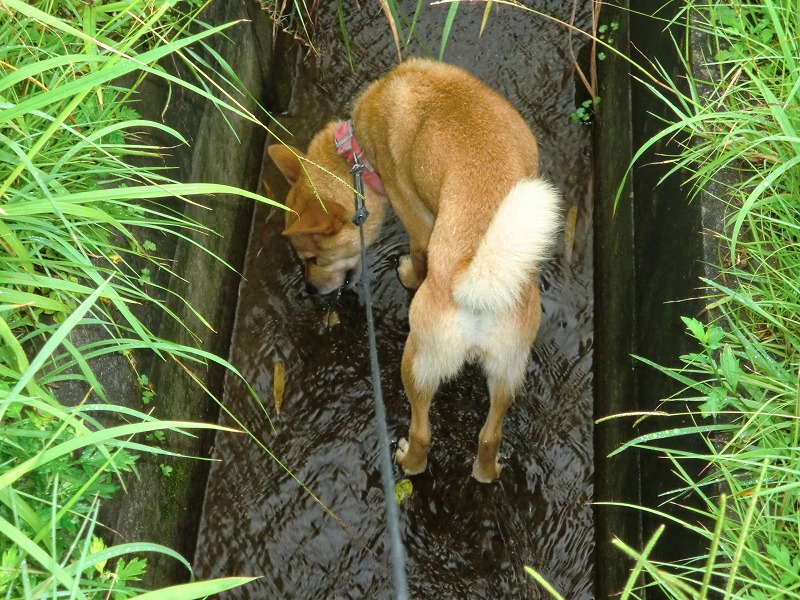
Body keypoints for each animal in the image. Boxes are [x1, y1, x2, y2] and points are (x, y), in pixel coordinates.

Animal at [266, 57, 560, 482]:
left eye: (313, 259)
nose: (308, 290)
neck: (357, 153)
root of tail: (477, 288)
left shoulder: (419, 228)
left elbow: (418, 259)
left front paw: (408, 275)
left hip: (417, 363)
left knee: (423, 433)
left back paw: (408, 461)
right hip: (508, 375)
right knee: (489, 437)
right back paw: (486, 472)